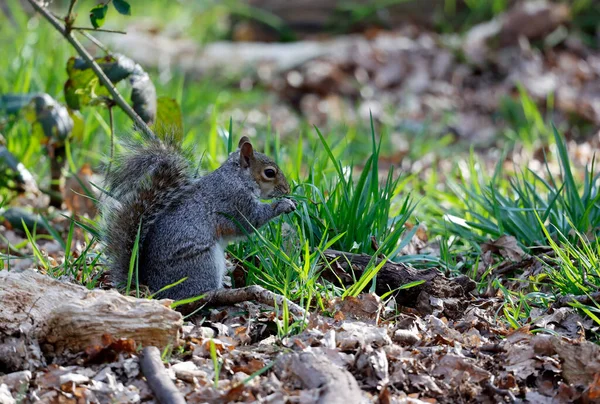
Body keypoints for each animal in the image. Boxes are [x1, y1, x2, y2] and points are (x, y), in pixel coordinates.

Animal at [101, 136, 298, 300]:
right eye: (270, 173)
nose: (287, 189)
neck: (238, 178)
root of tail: (151, 287)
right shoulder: (236, 202)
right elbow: (251, 220)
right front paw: (283, 204)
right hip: (203, 263)